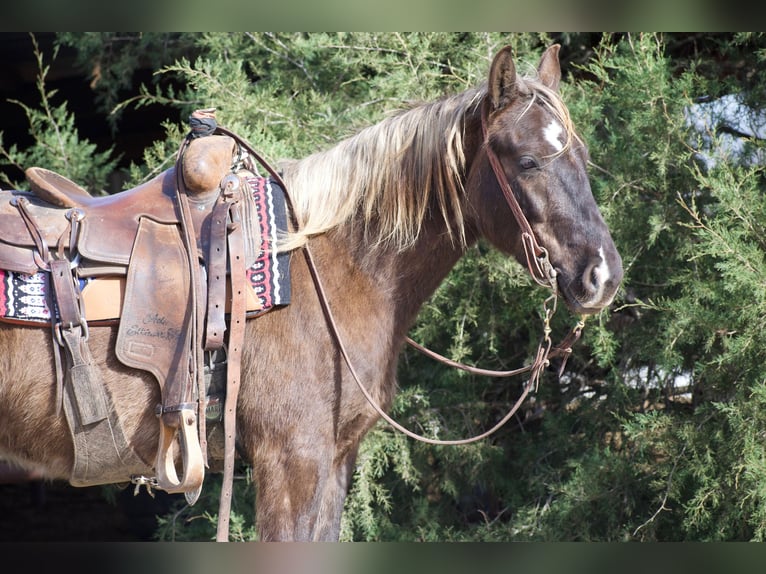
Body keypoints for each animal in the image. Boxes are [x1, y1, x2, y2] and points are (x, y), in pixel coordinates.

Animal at [0, 44, 622, 541]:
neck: (333, 265)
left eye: (585, 158)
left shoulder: (333, 463)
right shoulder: (293, 460)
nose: (603, 275)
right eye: (528, 160)